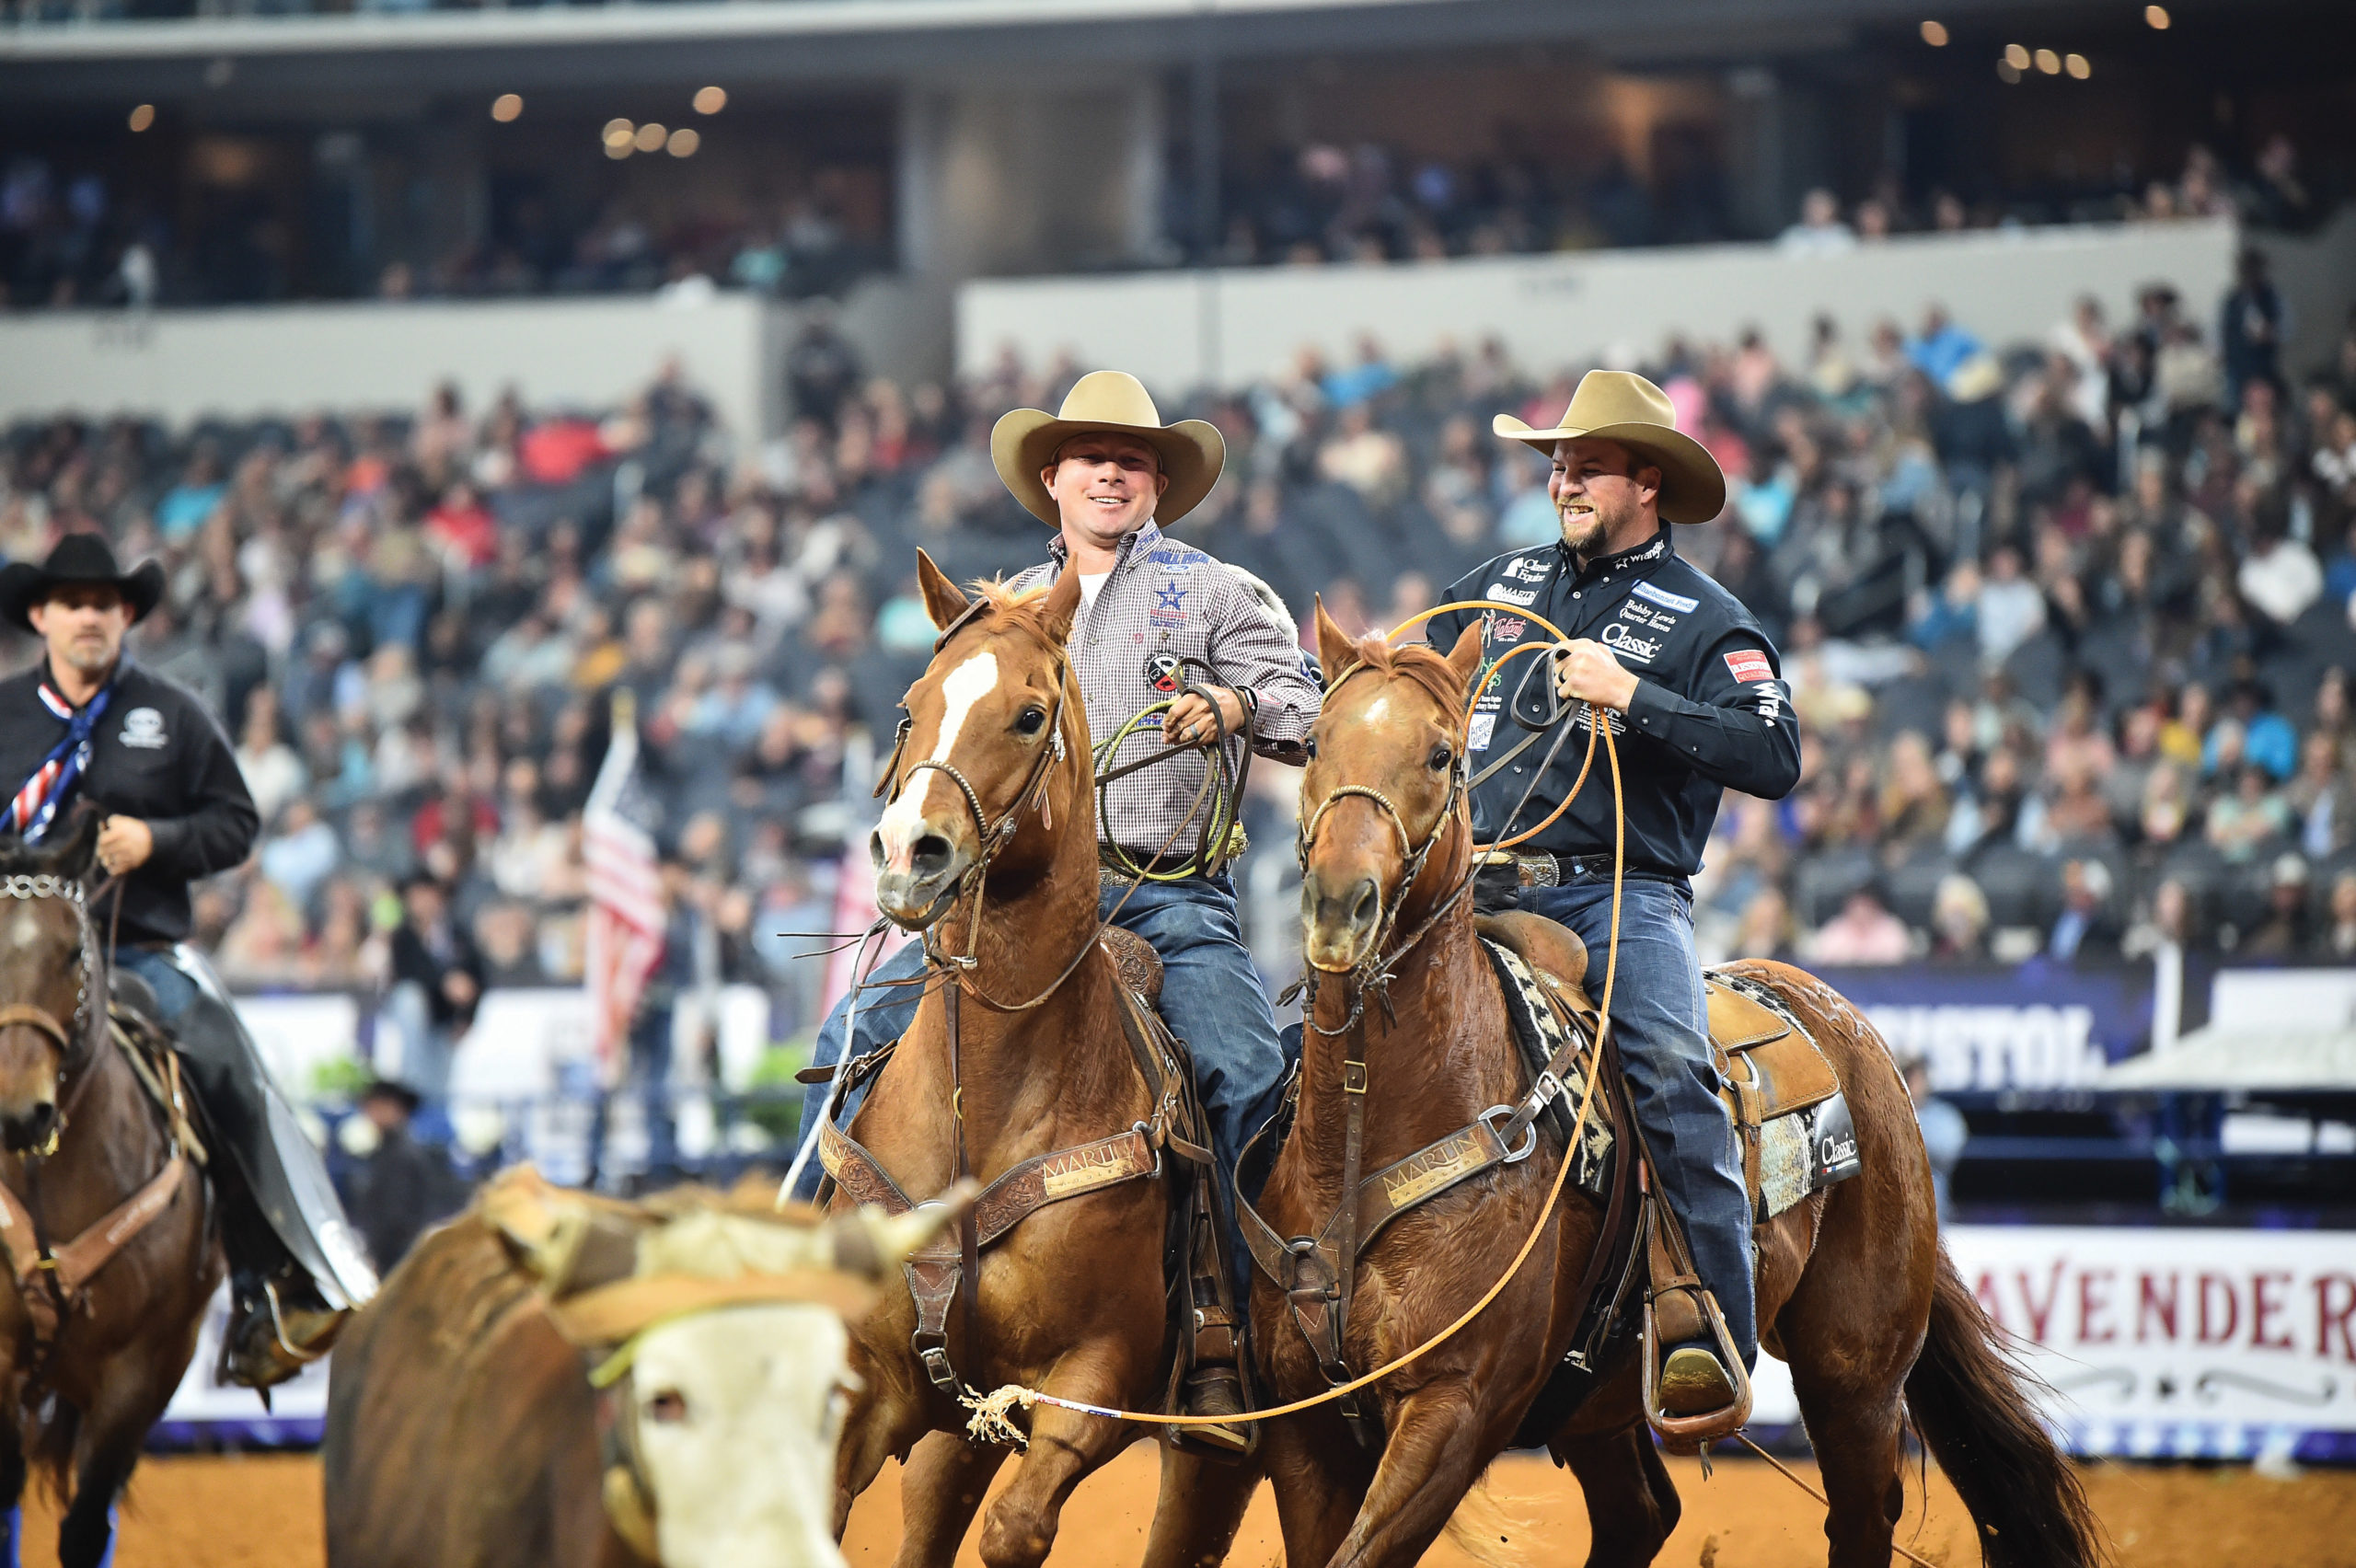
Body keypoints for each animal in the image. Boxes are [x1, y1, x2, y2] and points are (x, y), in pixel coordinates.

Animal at [1253, 607, 2101, 1562]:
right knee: (1643, 1511)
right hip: (1603, 1399)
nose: (1339, 905)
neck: (1380, 1131)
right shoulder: (1306, 1427)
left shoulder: (1452, 1412)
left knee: (1861, 1511)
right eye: (1314, 741)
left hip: (1856, 1373)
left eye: (1442, 754)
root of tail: (1847, 1029)